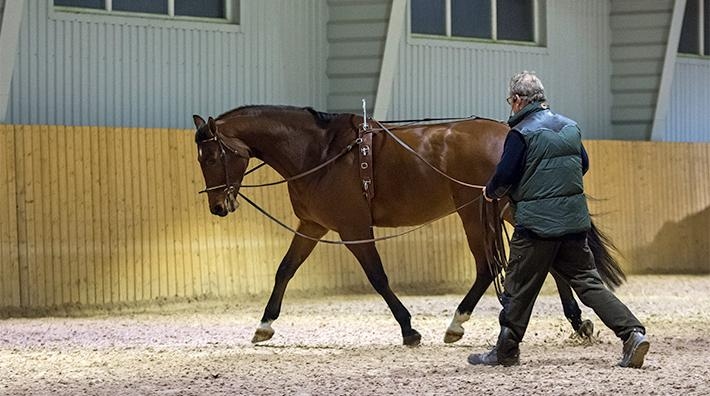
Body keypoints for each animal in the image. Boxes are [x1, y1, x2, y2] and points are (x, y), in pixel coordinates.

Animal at [191, 106, 624, 346]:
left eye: (210, 156)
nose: (217, 206)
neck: (321, 152)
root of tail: (514, 132)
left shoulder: (353, 229)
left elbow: (378, 278)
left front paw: (409, 330)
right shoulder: (312, 226)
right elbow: (285, 270)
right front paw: (264, 325)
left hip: (475, 213)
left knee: (487, 269)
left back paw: (456, 323)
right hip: (508, 210)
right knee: (551, 256)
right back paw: (578, 322)